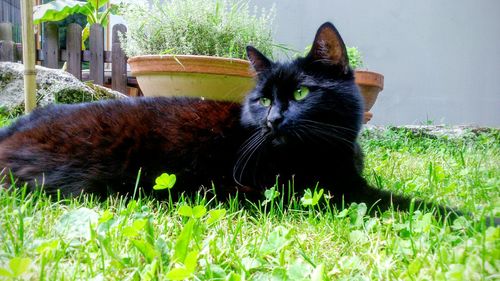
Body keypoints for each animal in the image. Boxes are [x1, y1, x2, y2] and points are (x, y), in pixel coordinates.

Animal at [0, 23, 460, 217]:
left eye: (300, 93)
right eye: (263, 99)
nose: (273, 119)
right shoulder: (333, 194)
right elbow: (406, 203)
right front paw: (466, 216)